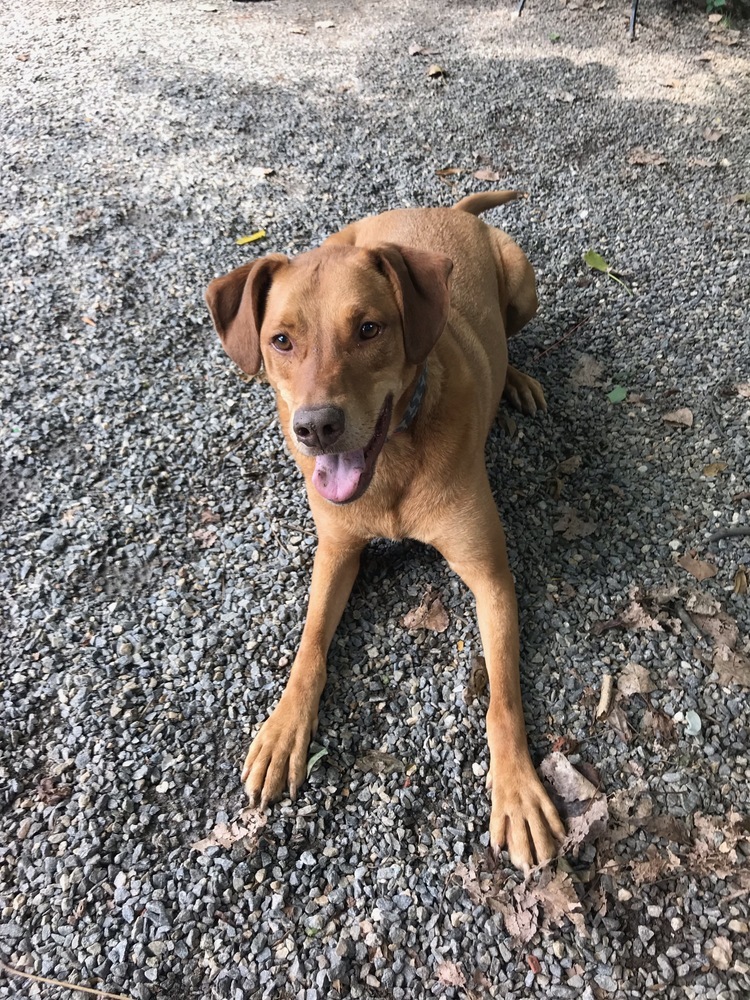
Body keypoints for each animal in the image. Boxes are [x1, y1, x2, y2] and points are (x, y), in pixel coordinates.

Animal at [206, 191, 564, 872]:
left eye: (369, 329)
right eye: (280, 340)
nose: (315, 427)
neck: (394, 462)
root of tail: (452, 206)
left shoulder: (492, 577)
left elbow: (502, 697)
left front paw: (517, 790)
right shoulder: (336, 552)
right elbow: (310, 645)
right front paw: (283, 729)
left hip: (523, 277)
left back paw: (518, 379)